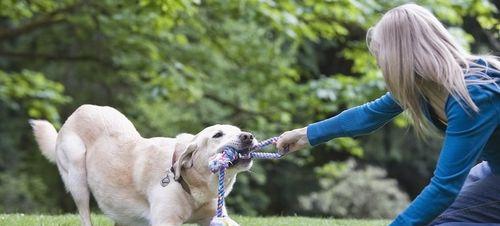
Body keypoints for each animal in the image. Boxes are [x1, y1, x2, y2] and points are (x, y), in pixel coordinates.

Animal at [29, 104, 254, 226]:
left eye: (238, 130)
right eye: (218, 135)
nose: (248, 136)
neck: (190, 185)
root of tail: (76, 112)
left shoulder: (219, 217)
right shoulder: (165, 221)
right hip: (78, 177)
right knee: (85, 216)